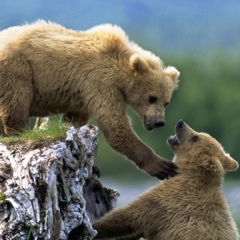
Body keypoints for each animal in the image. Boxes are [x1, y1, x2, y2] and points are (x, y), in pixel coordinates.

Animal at [0, 20, 180, 178]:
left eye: (166, 102)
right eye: (152, 98)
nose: (159, 122)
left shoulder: (82, 95)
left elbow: (75, 120)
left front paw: (93, 166)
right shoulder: (100, 83)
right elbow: (114, 124)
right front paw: (163, 166)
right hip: (17, 69)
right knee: (17, 101)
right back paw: (21, 132)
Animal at [93, 120, 239, 240]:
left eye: (195, 138)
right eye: (199, 134)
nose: (180, 123)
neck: (187, 173)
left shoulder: (167, 201)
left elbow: (128, 216)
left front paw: (94, 227)